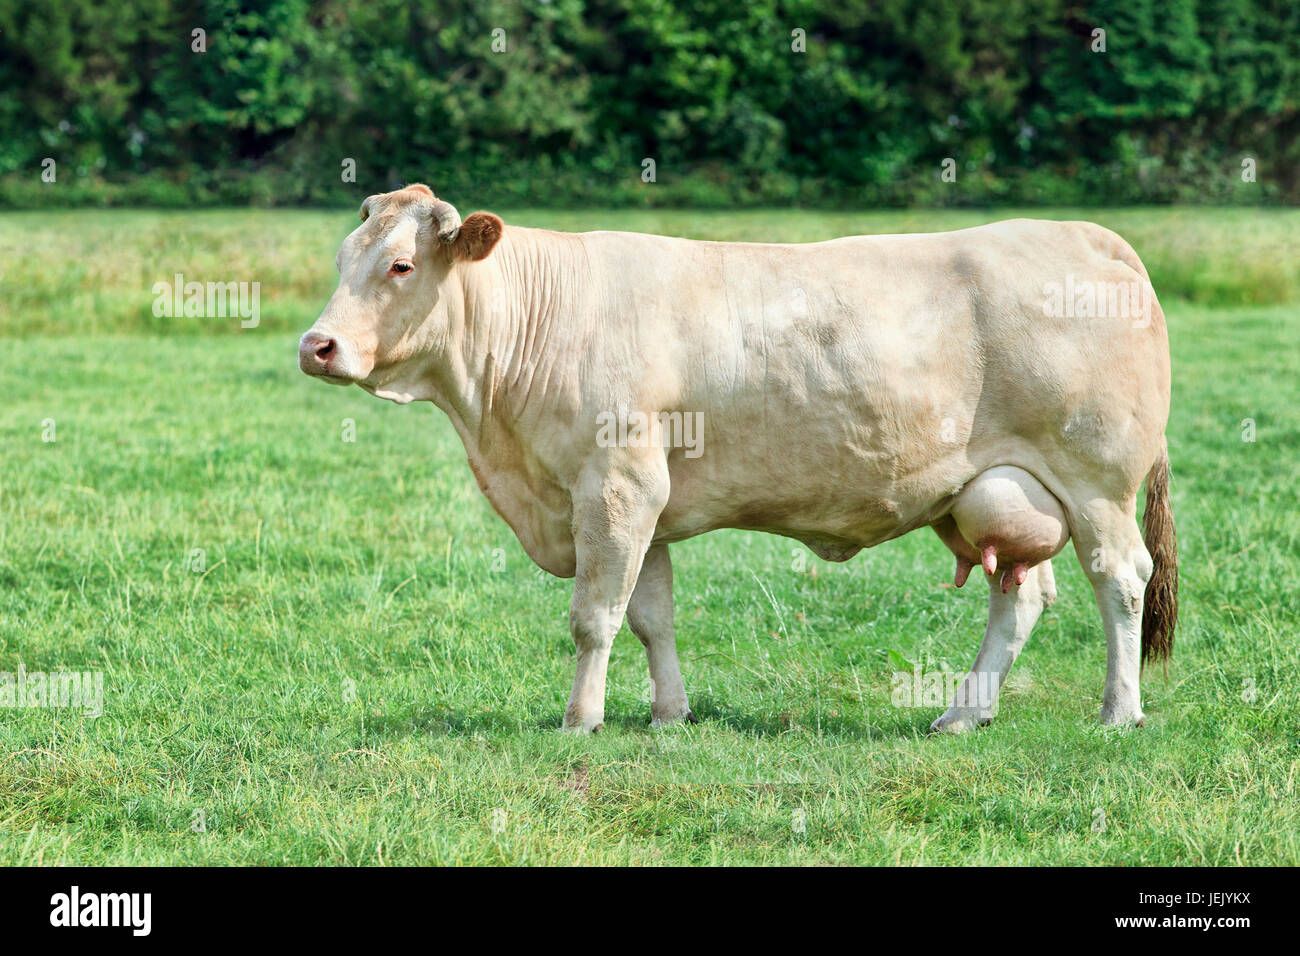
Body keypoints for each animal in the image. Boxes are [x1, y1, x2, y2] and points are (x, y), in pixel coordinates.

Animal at [299, 184, 1177, 735]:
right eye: (343, 259)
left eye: (401, 265)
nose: (317, 346)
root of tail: (1085, 234)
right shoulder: (642, 504)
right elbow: (650, 616)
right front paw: (668, 714)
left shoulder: (614, 486)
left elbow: (594, 617)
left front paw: (580, 719)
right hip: (1000, 489)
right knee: (1020, 599)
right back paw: (965, 712)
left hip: (1095, 484)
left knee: (1121, 579)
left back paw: (1118, 712)